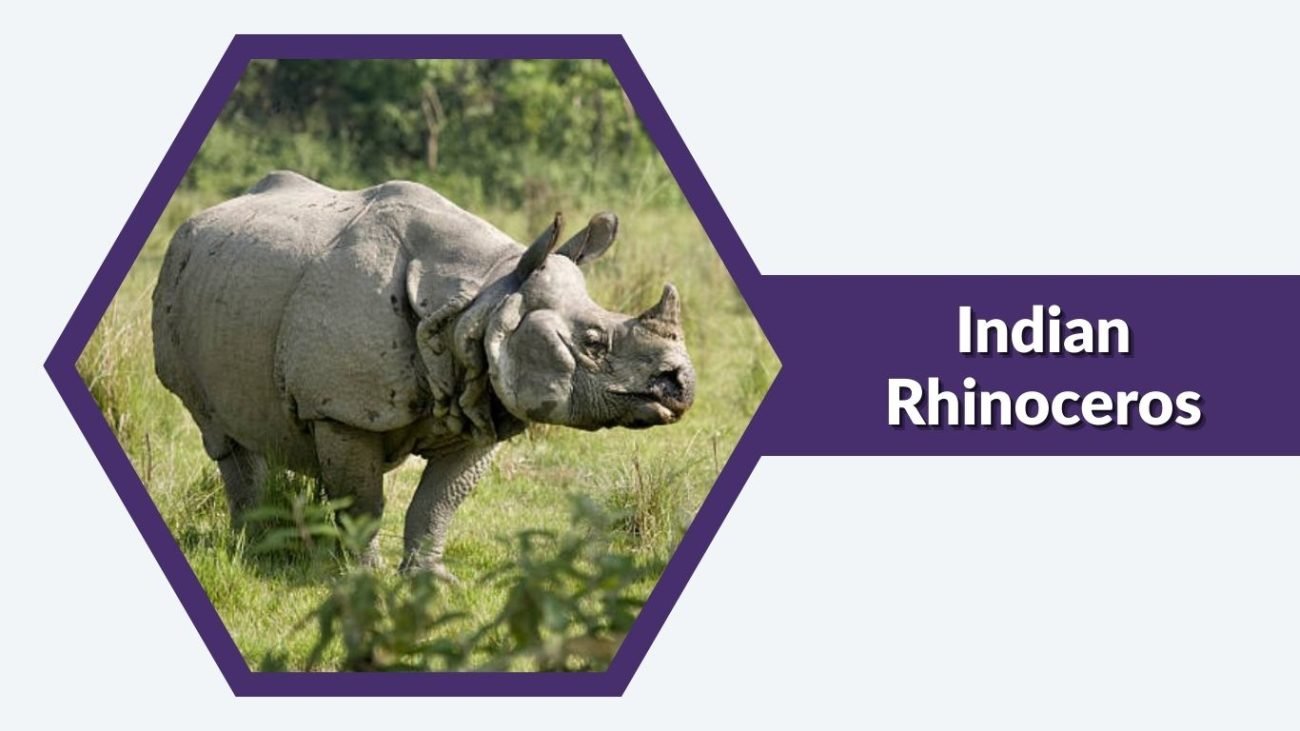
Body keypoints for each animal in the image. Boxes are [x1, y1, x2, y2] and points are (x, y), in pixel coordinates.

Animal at [152, 171, 694, 579]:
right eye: (593, 343)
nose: (682, 386)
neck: (482, 300)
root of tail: (197, 221)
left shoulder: (483, 397)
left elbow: (439, 502)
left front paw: (431, 580)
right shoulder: (342, 410)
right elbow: (363, 502)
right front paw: (364, 578)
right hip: (181, 281)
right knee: (221, 434)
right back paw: (256, 549)